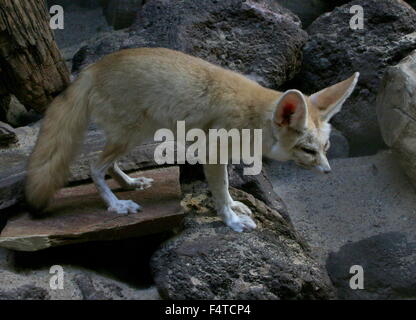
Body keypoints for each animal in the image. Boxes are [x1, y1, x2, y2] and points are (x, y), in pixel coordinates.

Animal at [25, 47, 358, 232]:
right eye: (307, 150)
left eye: (325, 148)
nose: (328, 171)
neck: (254, 117)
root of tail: (92, 68)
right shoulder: (212, 154)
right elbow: (220, 190)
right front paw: (231, 220)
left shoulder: (222, 156)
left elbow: (227, 188)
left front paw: (235, 206)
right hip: (129, 135)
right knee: (94, 167)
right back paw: (116, 205)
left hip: (136, 134)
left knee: (109, 164)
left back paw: (130, 183)